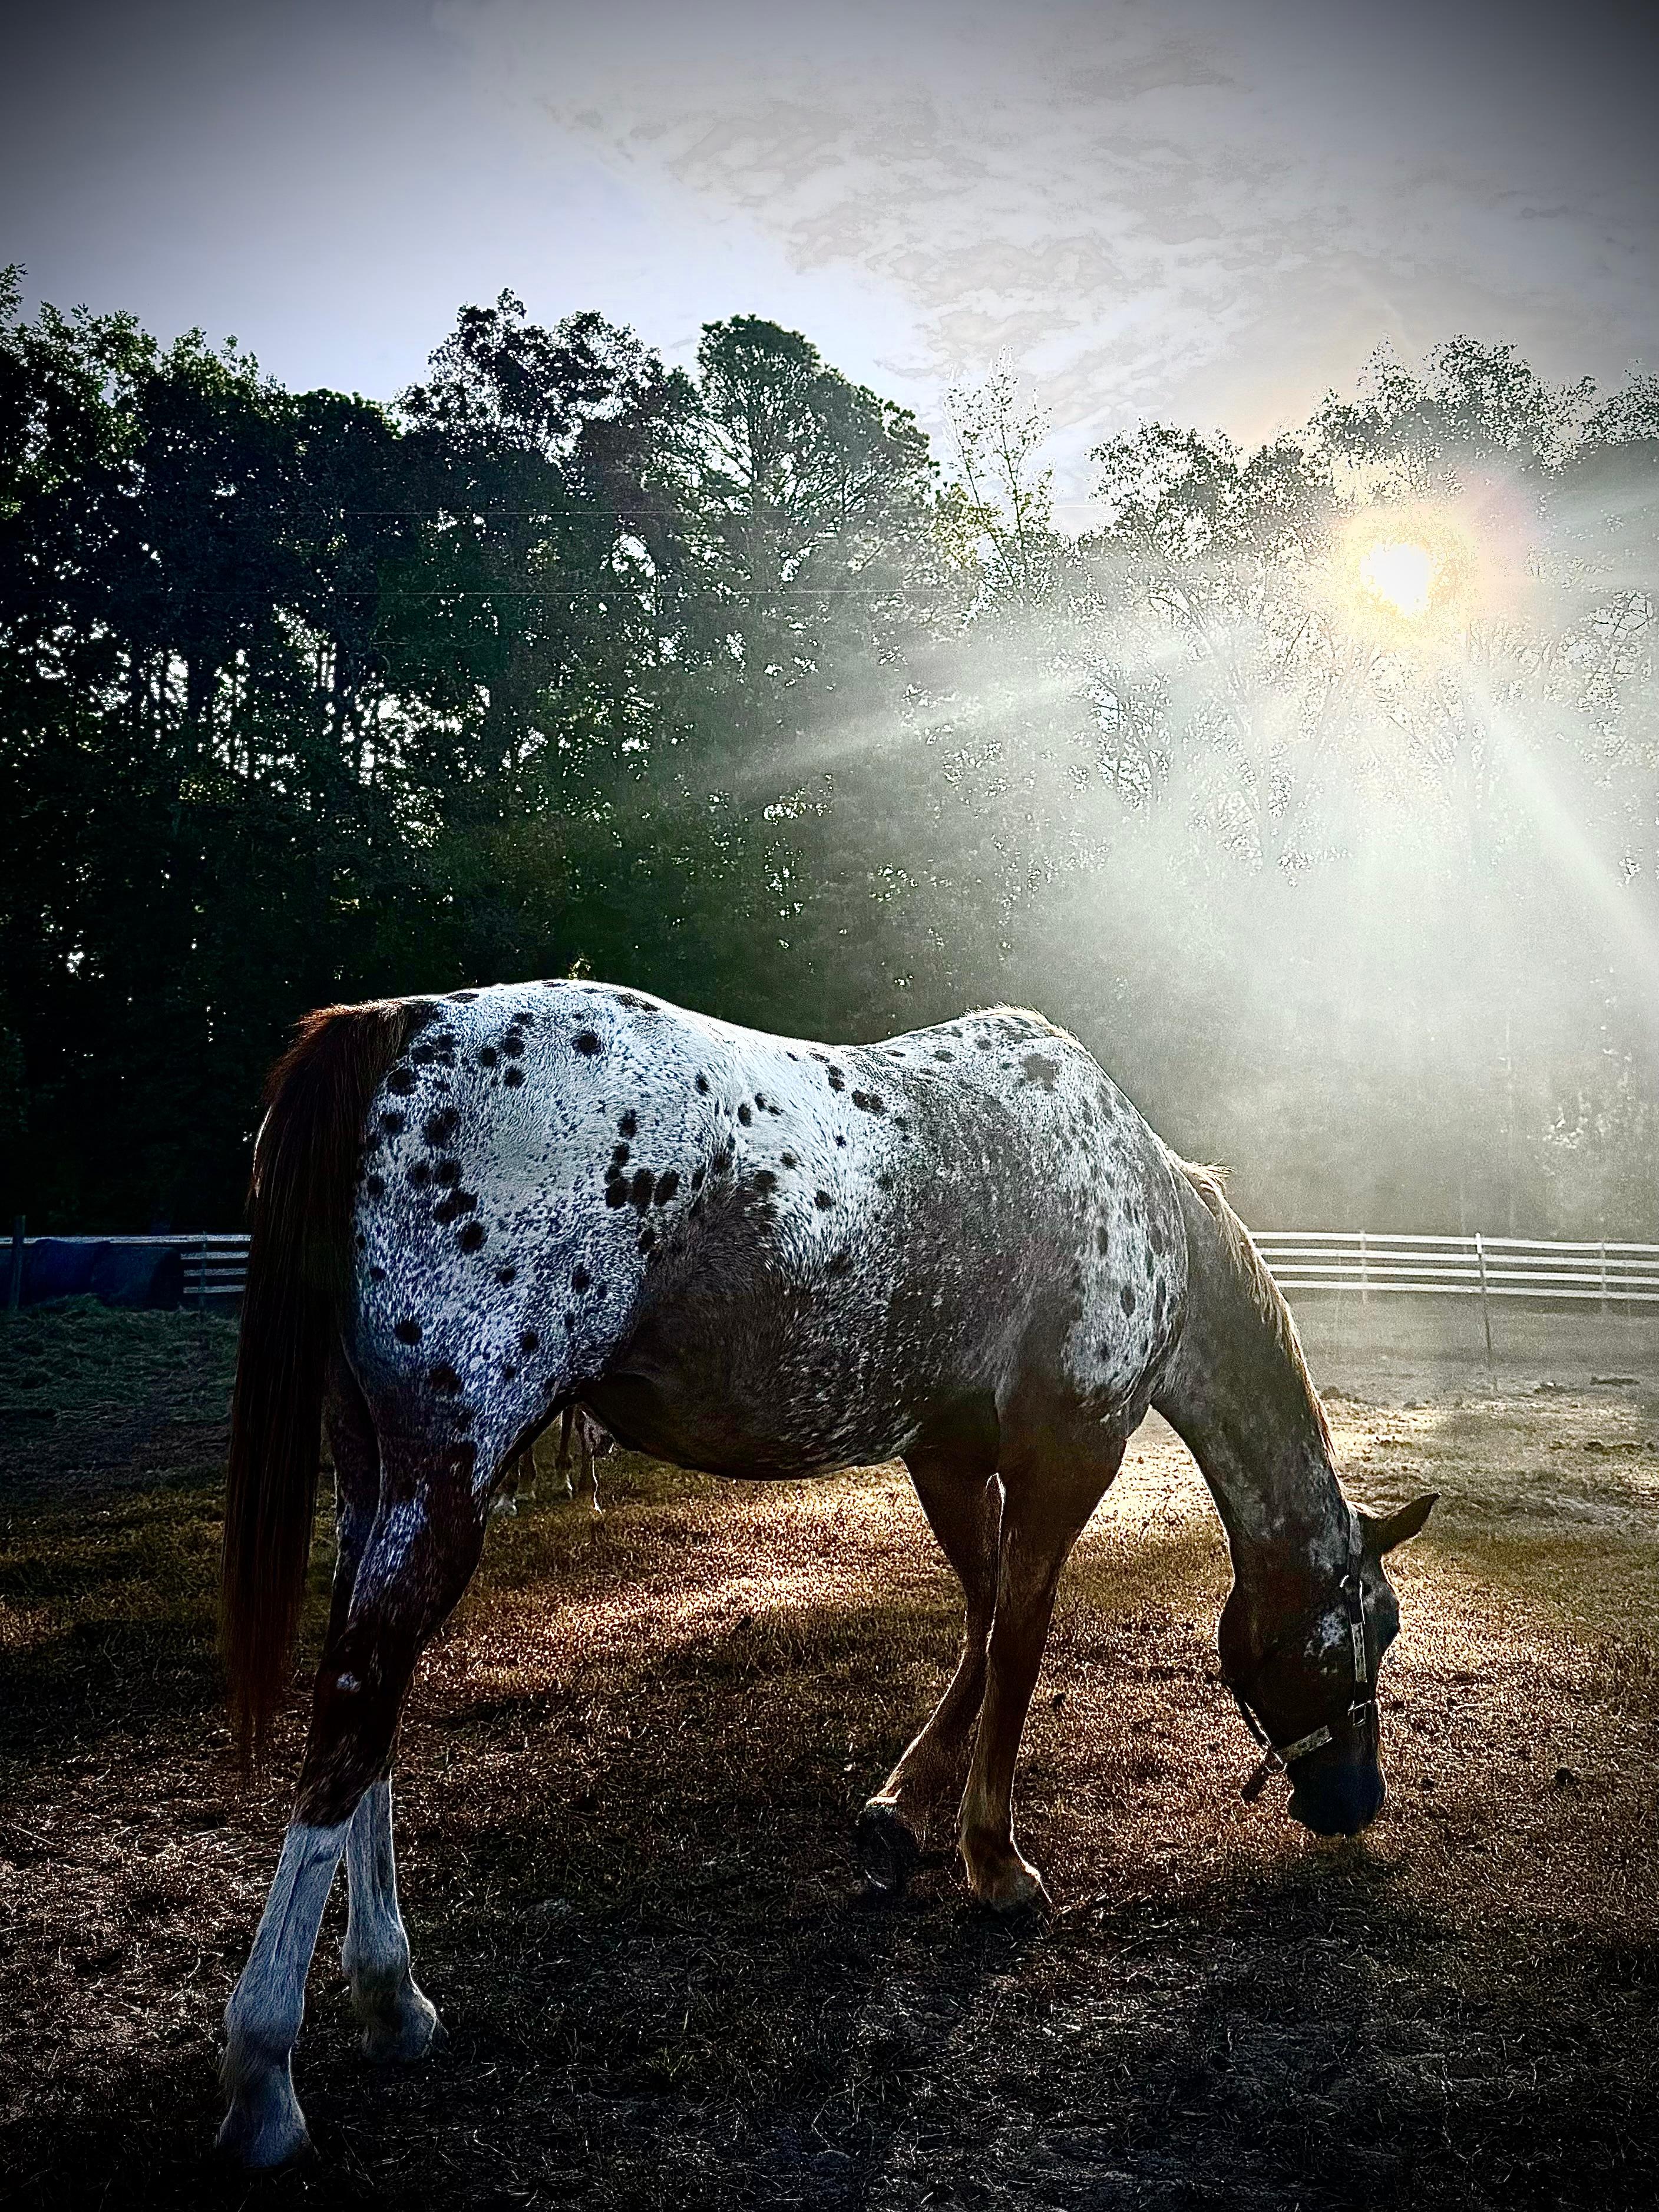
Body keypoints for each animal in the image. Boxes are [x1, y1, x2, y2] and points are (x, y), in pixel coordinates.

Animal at [216, 979, 1435, 2167]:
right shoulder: (1066, 1456)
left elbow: (981, 1624)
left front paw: (897, 1817)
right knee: (353, 1709)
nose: (1353, 1802)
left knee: (371, 1722)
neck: (1136, 1201)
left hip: (376, 1485)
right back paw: (266, 2078)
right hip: (446, 1489)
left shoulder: (948, 1456)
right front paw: (993, 1864)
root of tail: (391, 1028)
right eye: (1373, 1626)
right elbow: (1019, 1639)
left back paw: (392, 2000)